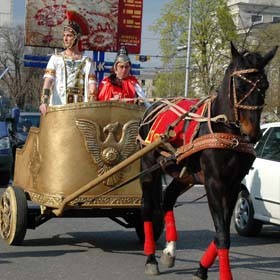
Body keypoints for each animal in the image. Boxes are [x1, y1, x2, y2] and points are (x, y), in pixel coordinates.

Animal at [138, 42, 278, 280]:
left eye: (264, 86)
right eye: (239, 85)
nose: (253, 133)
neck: (227, 131)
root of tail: (153, 107)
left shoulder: (233, 185)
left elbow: (221, 231)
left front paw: (201, 268)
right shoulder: (214, 182)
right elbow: (222, 234)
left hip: (185, 175)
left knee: (168, 199)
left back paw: (169, 251)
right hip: (148, 167)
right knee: (147, 208)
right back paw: (150, 258)